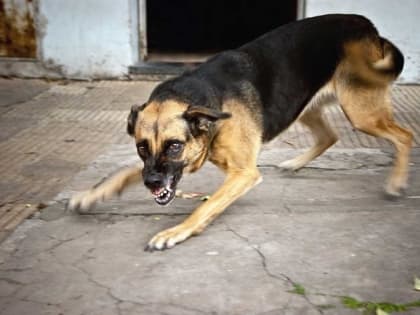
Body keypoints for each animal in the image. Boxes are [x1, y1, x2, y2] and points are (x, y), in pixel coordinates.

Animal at [69, 14, 414, 252]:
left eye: (175, 146)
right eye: (141, 146)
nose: (152, 184)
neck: (209, 107)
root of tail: (366, 24)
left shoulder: (243, 173)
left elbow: (205, 206)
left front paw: (175, 232)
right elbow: (123, 172)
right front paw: (91, 194)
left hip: (362, 113)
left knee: (406, 136)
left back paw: (396, 182)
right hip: (305, 106)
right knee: (330, 136)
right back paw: (295, 164)